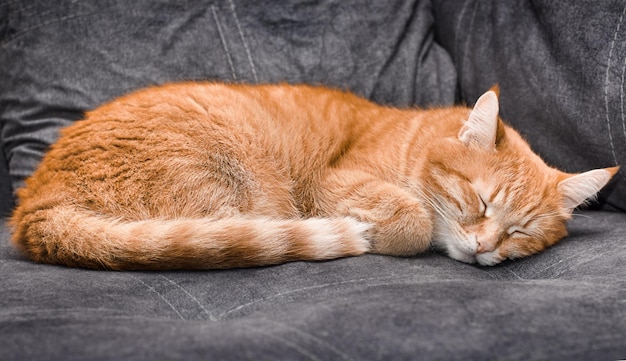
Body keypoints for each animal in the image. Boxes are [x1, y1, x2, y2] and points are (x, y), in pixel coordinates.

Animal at [7, 81, 616, 268]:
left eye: (520, 232)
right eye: (481, 201)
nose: (486, 247)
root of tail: (33, 206)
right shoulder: (333, 183)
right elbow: (414, 218)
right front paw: (388, 232)